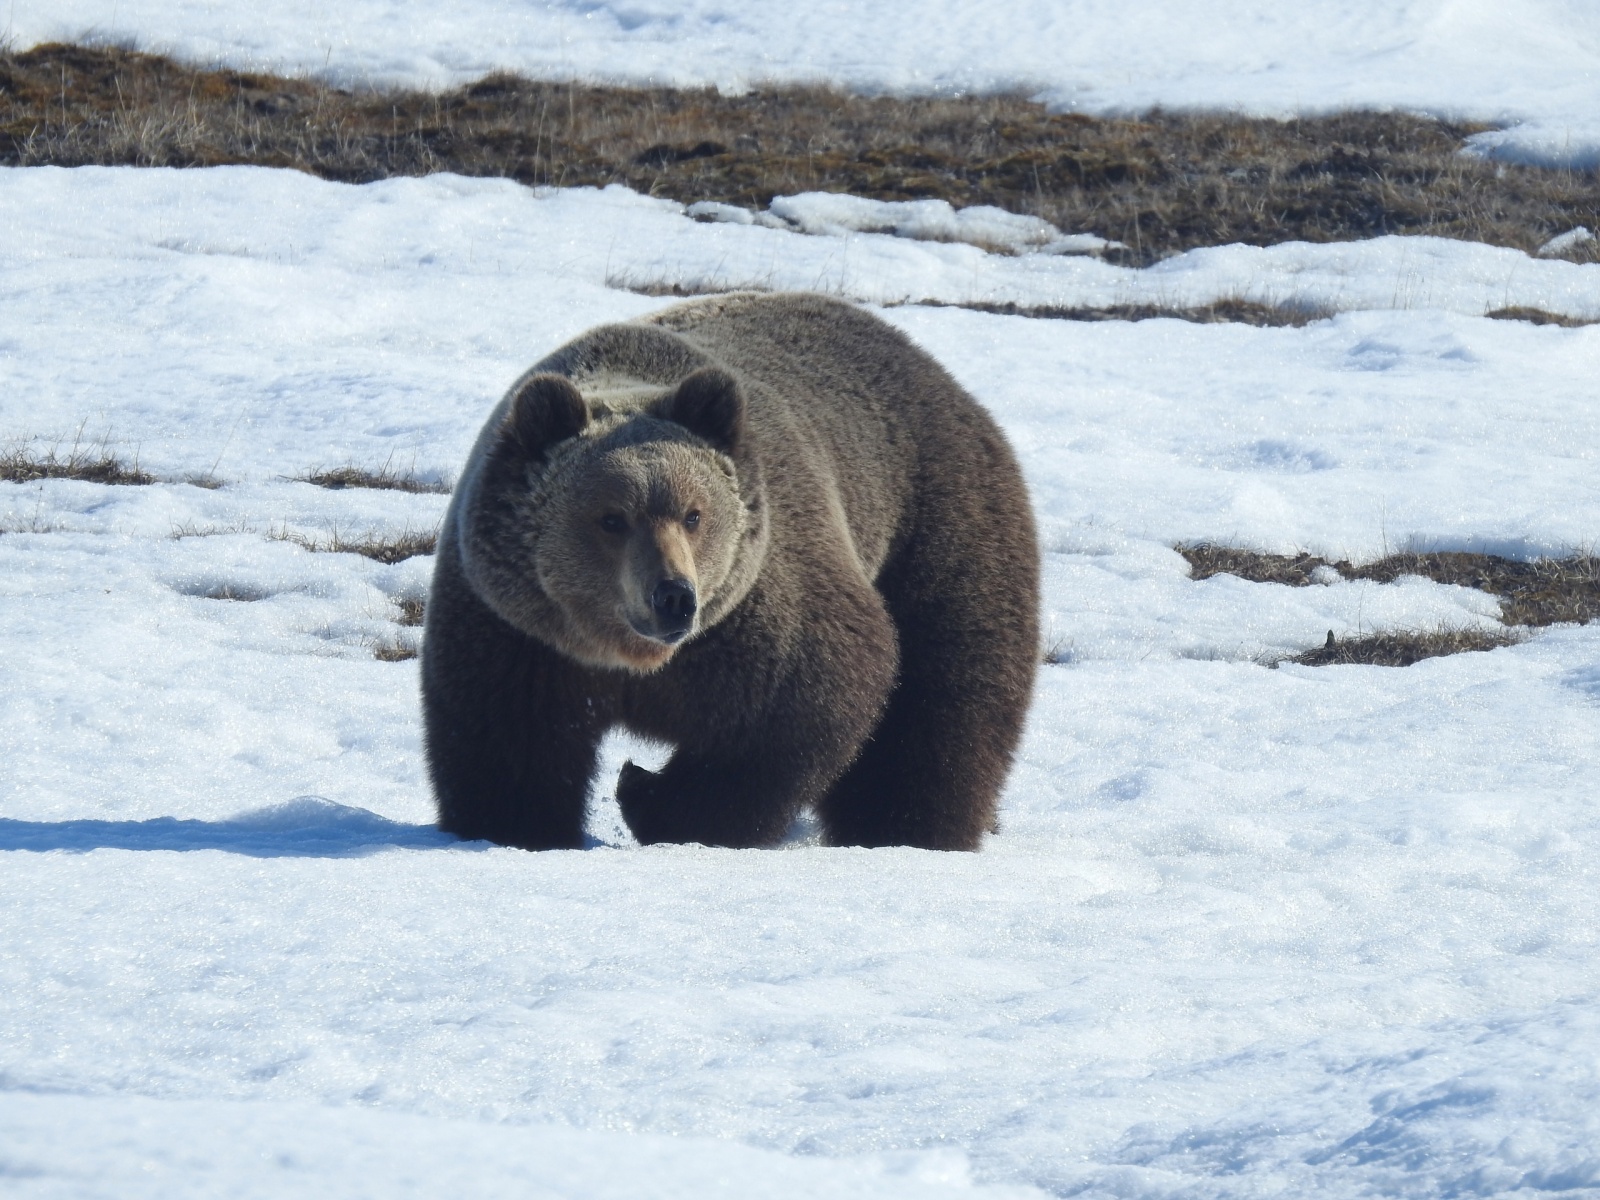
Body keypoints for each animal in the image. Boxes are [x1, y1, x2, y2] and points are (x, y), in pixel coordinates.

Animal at [422, 294, 1036, 851]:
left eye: (694, 513)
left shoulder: (755, 616)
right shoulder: (519, 632)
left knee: (945, 699)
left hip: (935, 526)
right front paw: (519, 828)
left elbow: (795, 709)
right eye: (611, 518)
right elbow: (510, 742)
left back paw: (909, 829)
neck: (632, 660)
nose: (673, 596)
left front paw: (650, 798)